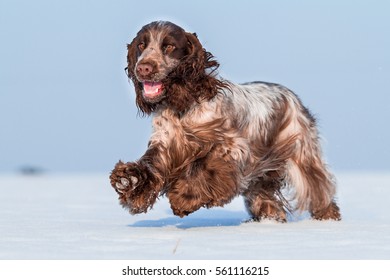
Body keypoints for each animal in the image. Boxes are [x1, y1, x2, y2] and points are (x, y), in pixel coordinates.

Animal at [108, 20, 340, 222]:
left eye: (170, 46)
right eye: (141, 45)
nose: (143, 68)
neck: (183, 105)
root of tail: (292, 97)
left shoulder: (232, 148)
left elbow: (206, 168)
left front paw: (183, 198)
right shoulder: (167, 143)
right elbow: (152, 164)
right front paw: (129, 180)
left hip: (301, 154)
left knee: (319, 190)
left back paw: (327, 218)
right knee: (264, 197)